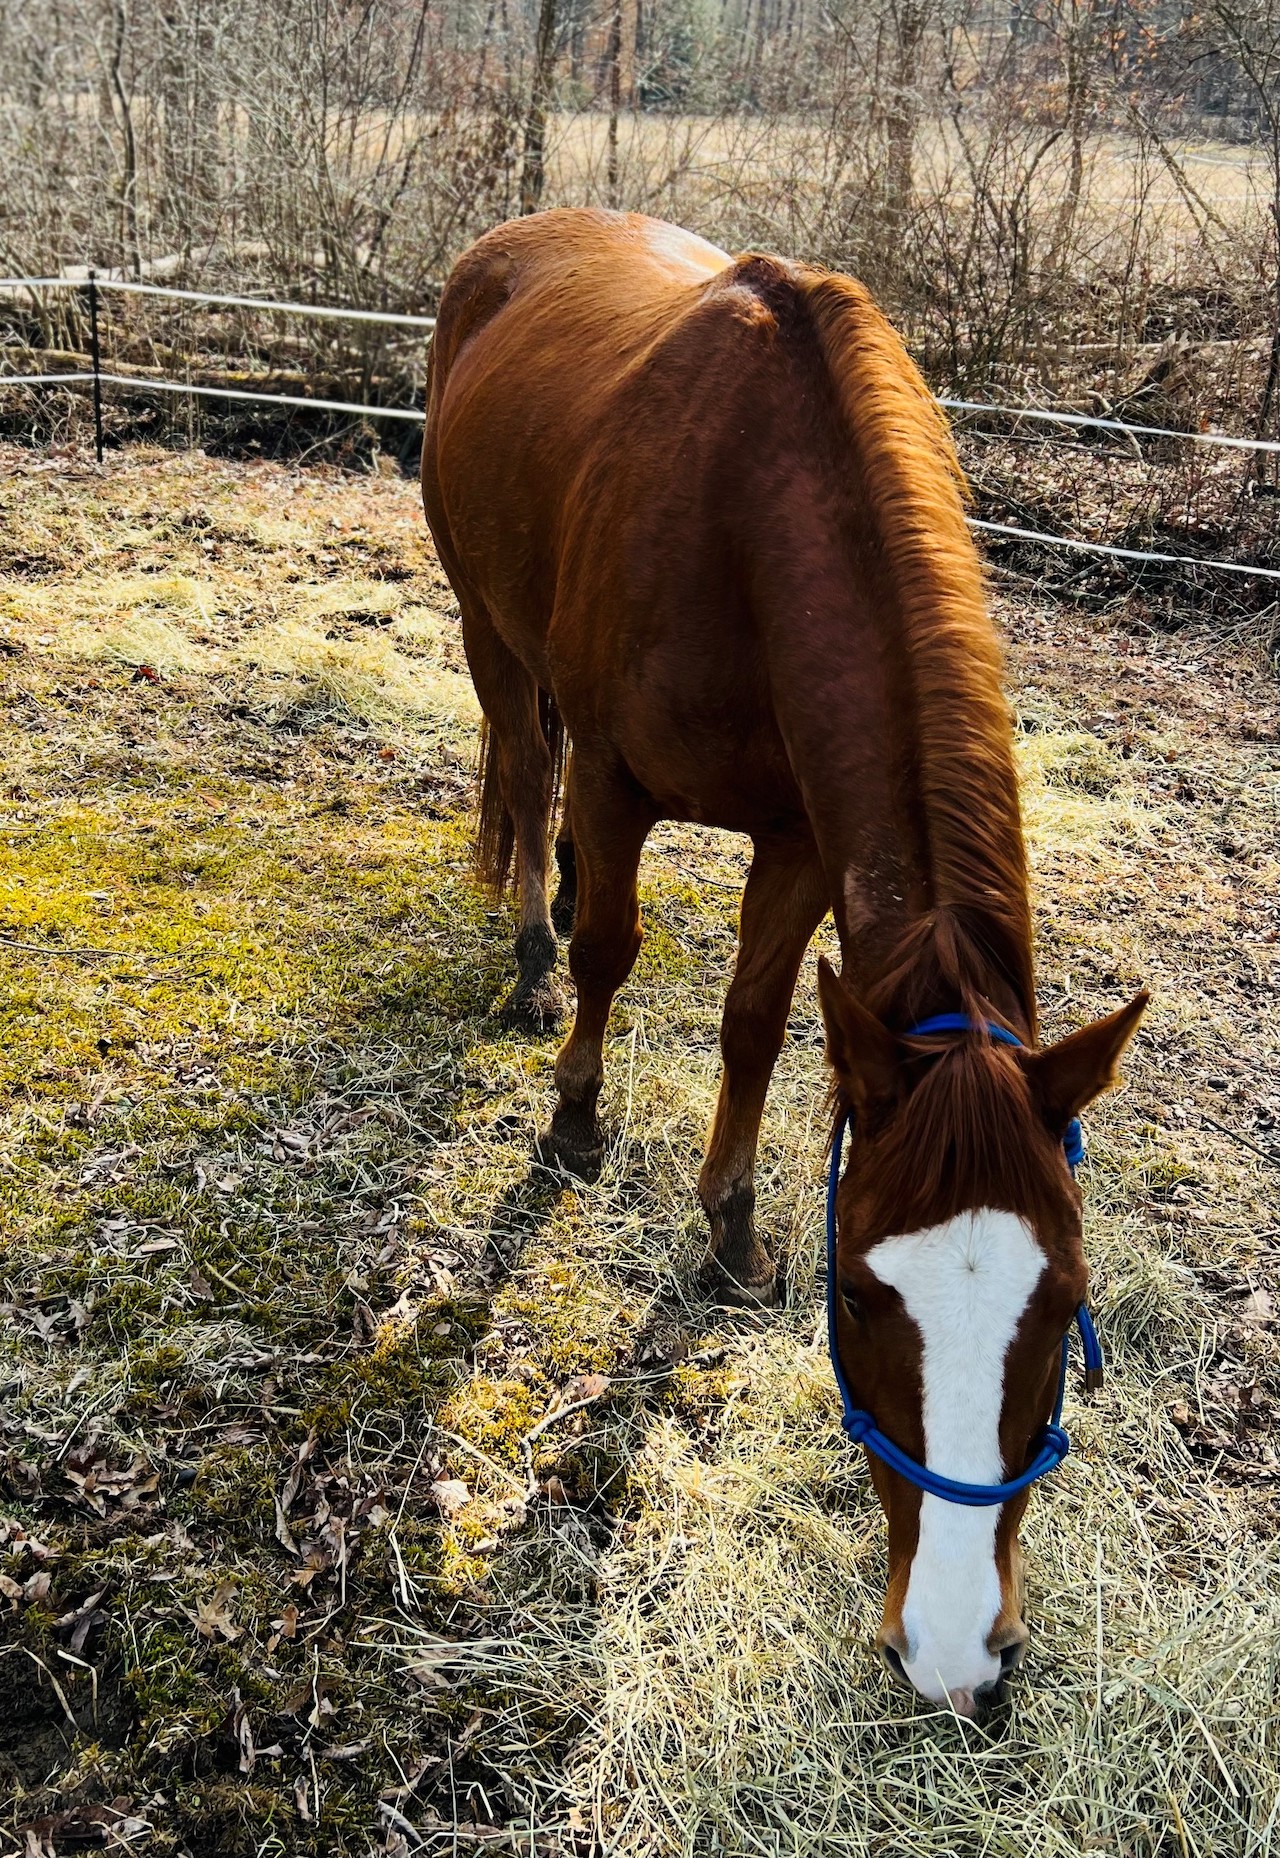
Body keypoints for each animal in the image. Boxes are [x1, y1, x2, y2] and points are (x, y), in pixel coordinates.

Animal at [421, 210, 1151, 1716]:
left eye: (1065, 1302)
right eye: (864, 1292)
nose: (954, 1650)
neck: (757, 523)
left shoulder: (806, 836)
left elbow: (755, 1017)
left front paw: (731, 1224)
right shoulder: (624, 782)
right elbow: (615, 944)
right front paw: (576, 1117)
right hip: (485, 626)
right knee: (525, 763)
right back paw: (528, 949)